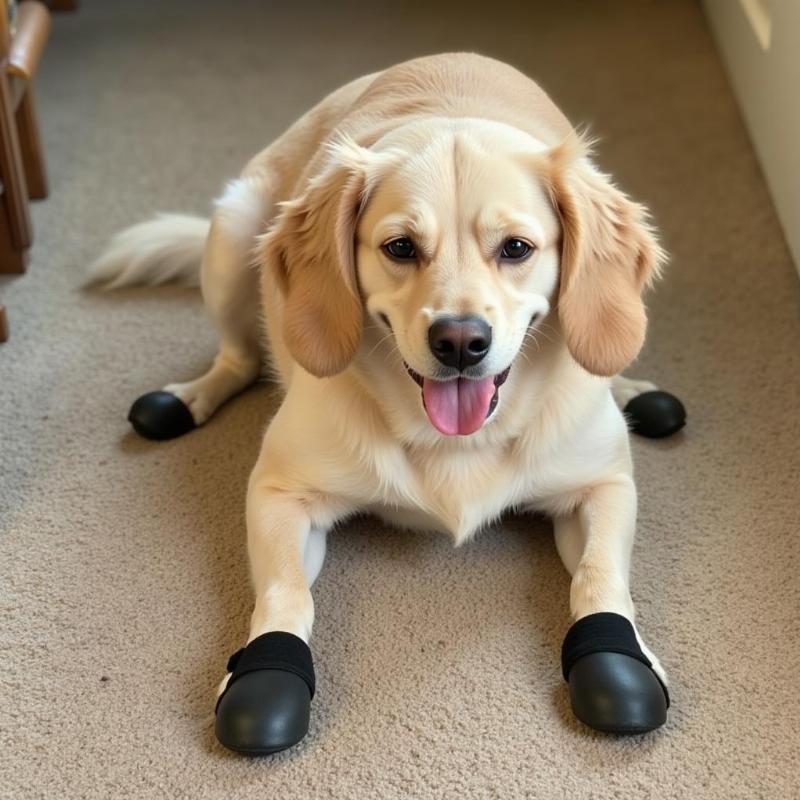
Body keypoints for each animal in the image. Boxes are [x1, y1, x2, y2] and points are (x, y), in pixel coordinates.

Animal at [92, 53, 680, 752]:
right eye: (401, 247)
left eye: (516, 248)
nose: (461, 341)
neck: (456, 441)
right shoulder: (278, 493)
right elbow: (287, 594)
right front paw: (263, 674)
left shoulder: (605, 489)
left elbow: (599, 579)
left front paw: (619, 661)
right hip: (234, 236)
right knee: (237, 359)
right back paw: (186, 399)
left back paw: (632, 390)